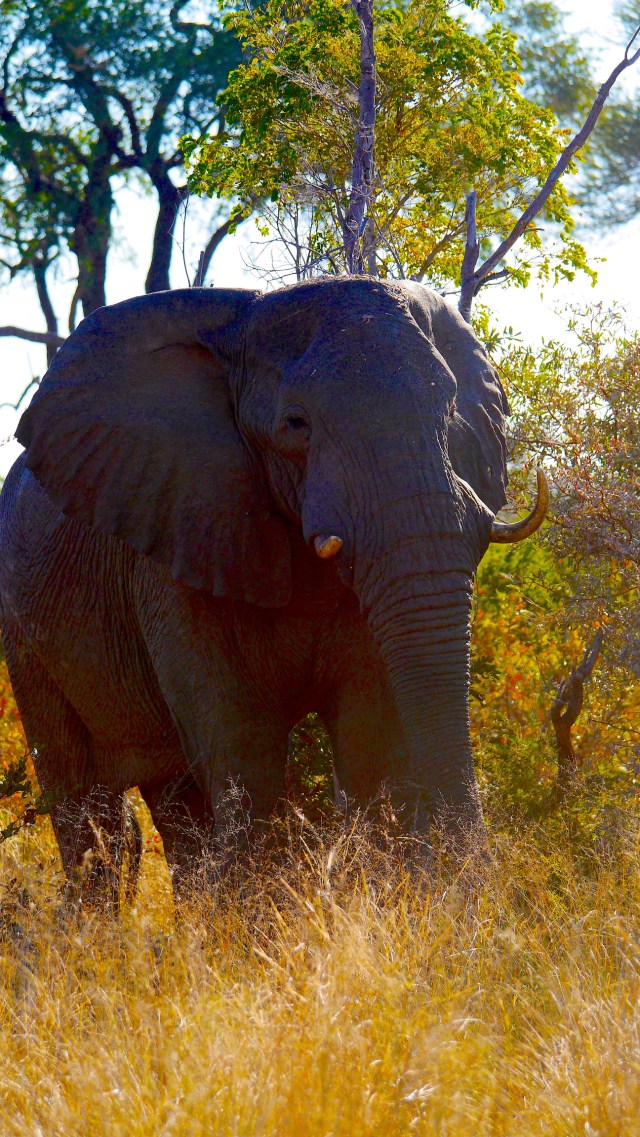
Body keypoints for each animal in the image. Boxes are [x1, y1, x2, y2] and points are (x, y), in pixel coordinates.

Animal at [0, 277, 547, 901]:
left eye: (451, 408)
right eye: (295, 423)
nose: (477, 889)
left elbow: (369, 737)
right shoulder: (182, 529)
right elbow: (244, 743)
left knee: (174, 808)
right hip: (24, 632)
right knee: (91, 813)